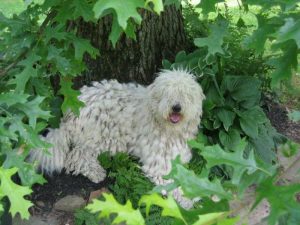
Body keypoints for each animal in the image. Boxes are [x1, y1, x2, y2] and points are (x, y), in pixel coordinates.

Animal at [29, 69, 204, 207]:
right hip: (103, 135)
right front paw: (189, 200)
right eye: (168, 93)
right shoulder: (158, 165)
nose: (176, 107)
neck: (168, 128)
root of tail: (70, 113)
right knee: (77, 156)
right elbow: (173, 183)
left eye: (185, 94)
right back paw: (96, 172)